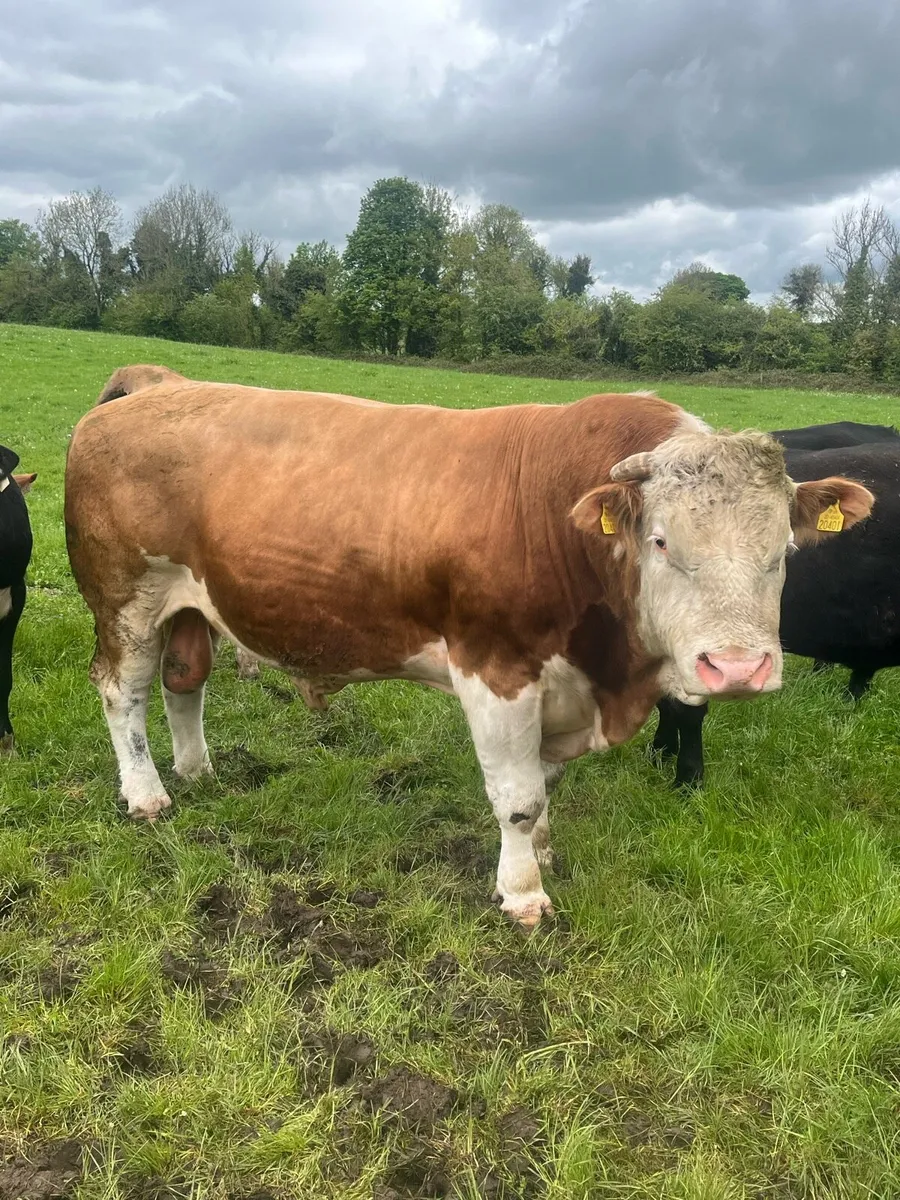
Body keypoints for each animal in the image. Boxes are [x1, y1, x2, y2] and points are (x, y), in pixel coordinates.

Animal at [64, 369, 873, 929]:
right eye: (663, 541)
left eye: (782, 552)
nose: (736, 668)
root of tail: (148, 391)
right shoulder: (497, 669)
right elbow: (517, 797)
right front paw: (523, 893)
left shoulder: (558, 686)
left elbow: (545, 786)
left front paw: (543, 853)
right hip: (126, 599)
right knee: (121, 692)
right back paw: (147, 795)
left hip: (188, 604)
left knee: (184, 680)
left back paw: (197, 770)